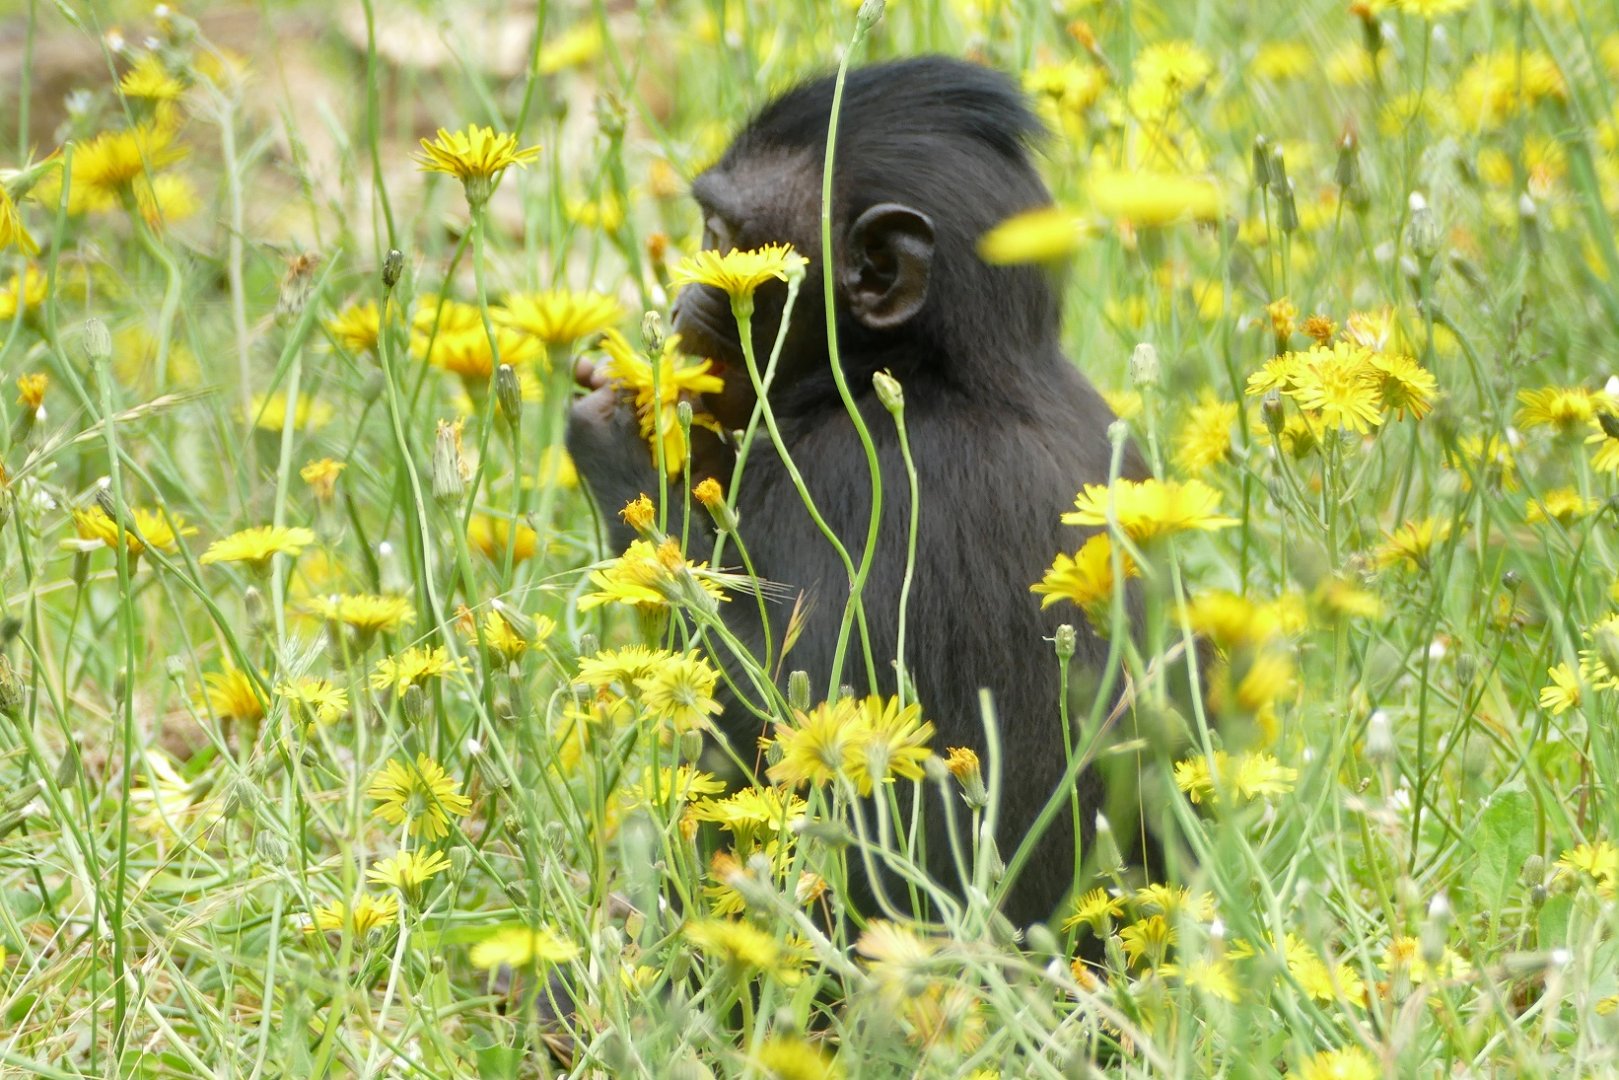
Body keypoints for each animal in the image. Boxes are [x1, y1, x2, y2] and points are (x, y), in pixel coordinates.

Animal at [566, 56, 1149, 931]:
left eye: (718, 237)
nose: (675, 301)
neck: (935, 371)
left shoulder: (856, 476)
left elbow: (794, 720)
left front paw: (617, 440)